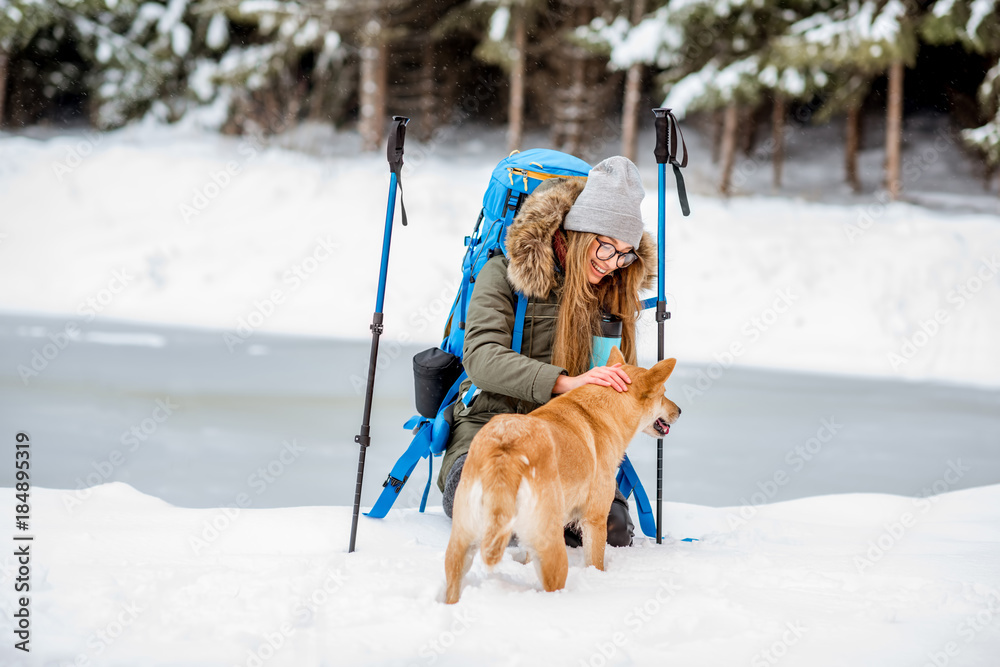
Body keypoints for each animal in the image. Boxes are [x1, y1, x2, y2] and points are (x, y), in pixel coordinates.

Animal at [446, 350, 680, 604]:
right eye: (664, 394)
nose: (680, 411)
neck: (605, 410)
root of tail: (506, 449)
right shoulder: (594, 519)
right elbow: (595, 562)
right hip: (551, 542)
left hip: (462, 541)